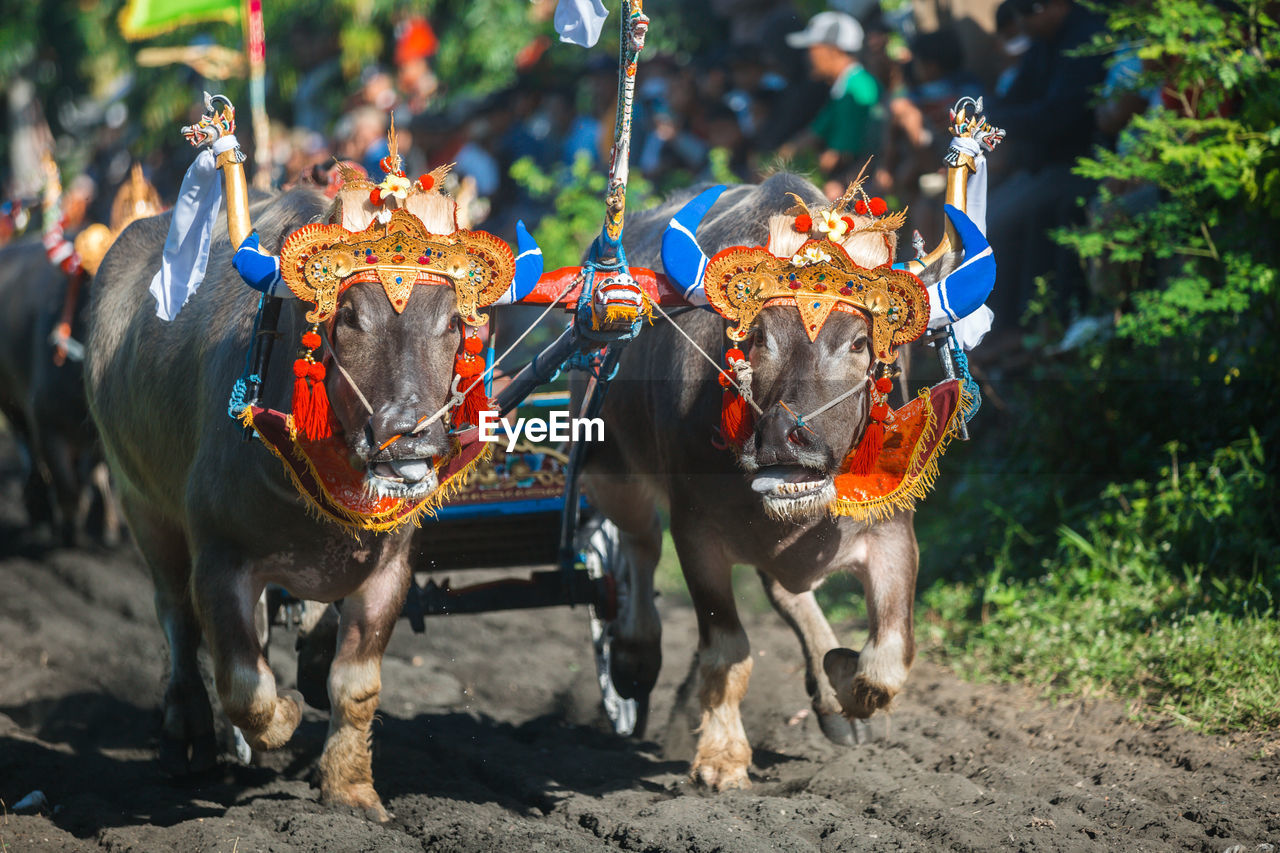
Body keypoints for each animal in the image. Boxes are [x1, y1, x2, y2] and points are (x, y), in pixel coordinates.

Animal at [87, 183, 481, 814]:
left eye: (449, 320)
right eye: (350, 315)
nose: (409, 438)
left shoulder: (389, 570)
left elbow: (356, 684)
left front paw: (349, 788)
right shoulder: (219, 558)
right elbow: (246, 687)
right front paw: (286, 715)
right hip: (140, 505)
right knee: (176, 621)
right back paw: (186, 736)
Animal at [586, 169, 957, 788]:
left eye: (859, 343)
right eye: (759, 339)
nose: (788, 435)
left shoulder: (891, 533)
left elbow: (887, 660)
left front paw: (843, 681)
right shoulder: (697, 535)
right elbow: (727, 651)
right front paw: (721, 756)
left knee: (786, 589)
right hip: (608, 469)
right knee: (639, 542)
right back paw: (635, 656)